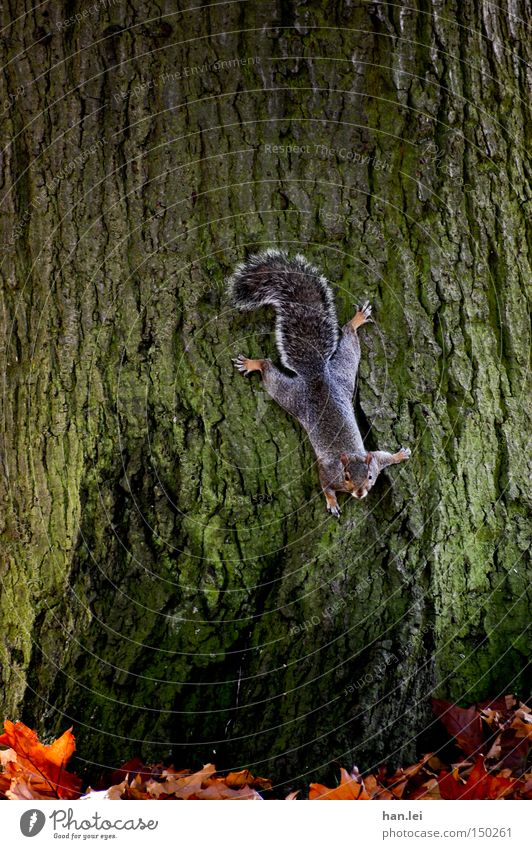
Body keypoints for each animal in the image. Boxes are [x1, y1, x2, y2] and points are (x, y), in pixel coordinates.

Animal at [229, 250, 412, 516]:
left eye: (369, 477)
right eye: (346, 477)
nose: (360, 493)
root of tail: (317, 374)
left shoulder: (375, 461)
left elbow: (383, 456)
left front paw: (399, 455)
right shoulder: (327, 472)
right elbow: (325, 486)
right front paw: (332, 502)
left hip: (343, 374)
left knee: (348, 341)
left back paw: (356, 320)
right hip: (293, 395)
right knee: (269, 369)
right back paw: (254, 363)